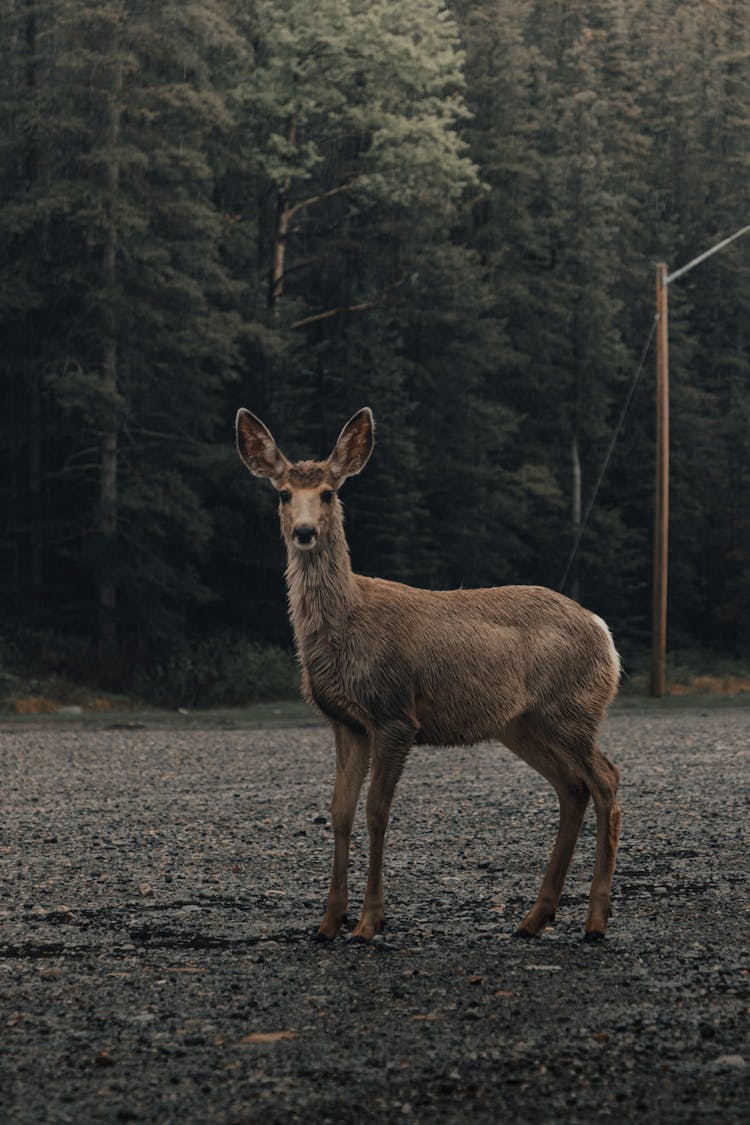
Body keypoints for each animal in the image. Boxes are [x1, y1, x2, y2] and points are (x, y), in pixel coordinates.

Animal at [236, 409, 620, 945]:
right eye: (284, 493)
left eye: (329, 492)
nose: (305, 532)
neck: (348, 622)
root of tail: (603, 630)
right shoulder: (345, 722)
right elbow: (339, 812)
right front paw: (328, 923)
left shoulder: (395, 714)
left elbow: (377, 811)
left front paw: (369, 923)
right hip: (522, 724)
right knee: (573, 788)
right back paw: (533, 918)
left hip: (572, 709)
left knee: (606, 779)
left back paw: (595, 921)